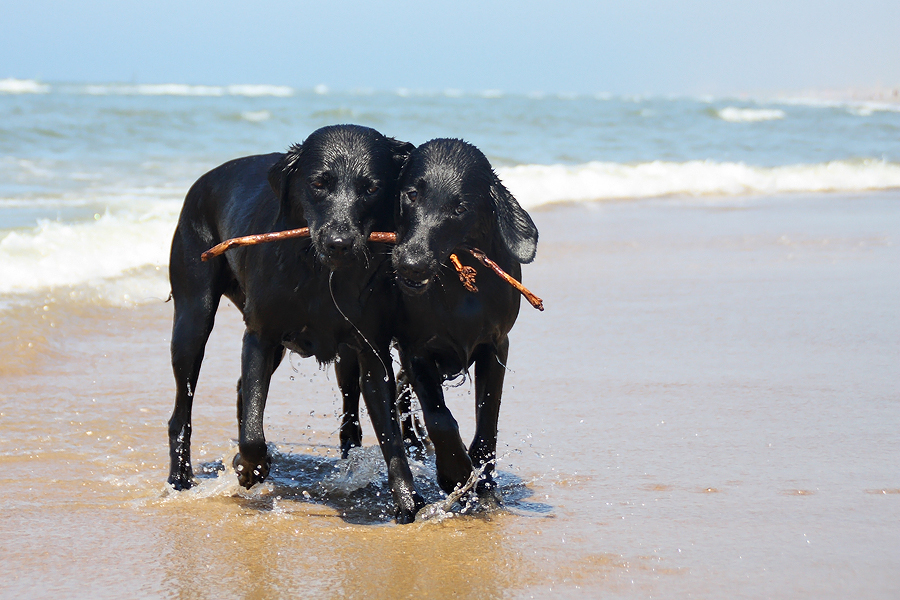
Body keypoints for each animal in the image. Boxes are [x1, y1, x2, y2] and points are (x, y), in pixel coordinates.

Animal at [165, 124, 426, 524]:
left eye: (371, 188)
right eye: (318, 183)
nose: (339, 243)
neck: (320, 274)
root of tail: (203, 180)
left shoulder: (371, 350)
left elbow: (391, 436)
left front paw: (407, 500)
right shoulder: (260, 336)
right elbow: (252, 435)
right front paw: (249, 468)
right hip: (193, 316)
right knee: (183, 411)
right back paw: (180, 478)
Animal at [390, 139, 536, 496]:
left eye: (459, 209)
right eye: (412, 194)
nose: (412, 264)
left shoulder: (495, 347)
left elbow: (488, 418)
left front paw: (482, 476)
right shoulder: (416, 348)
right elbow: (440, 416)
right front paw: (454, 471)